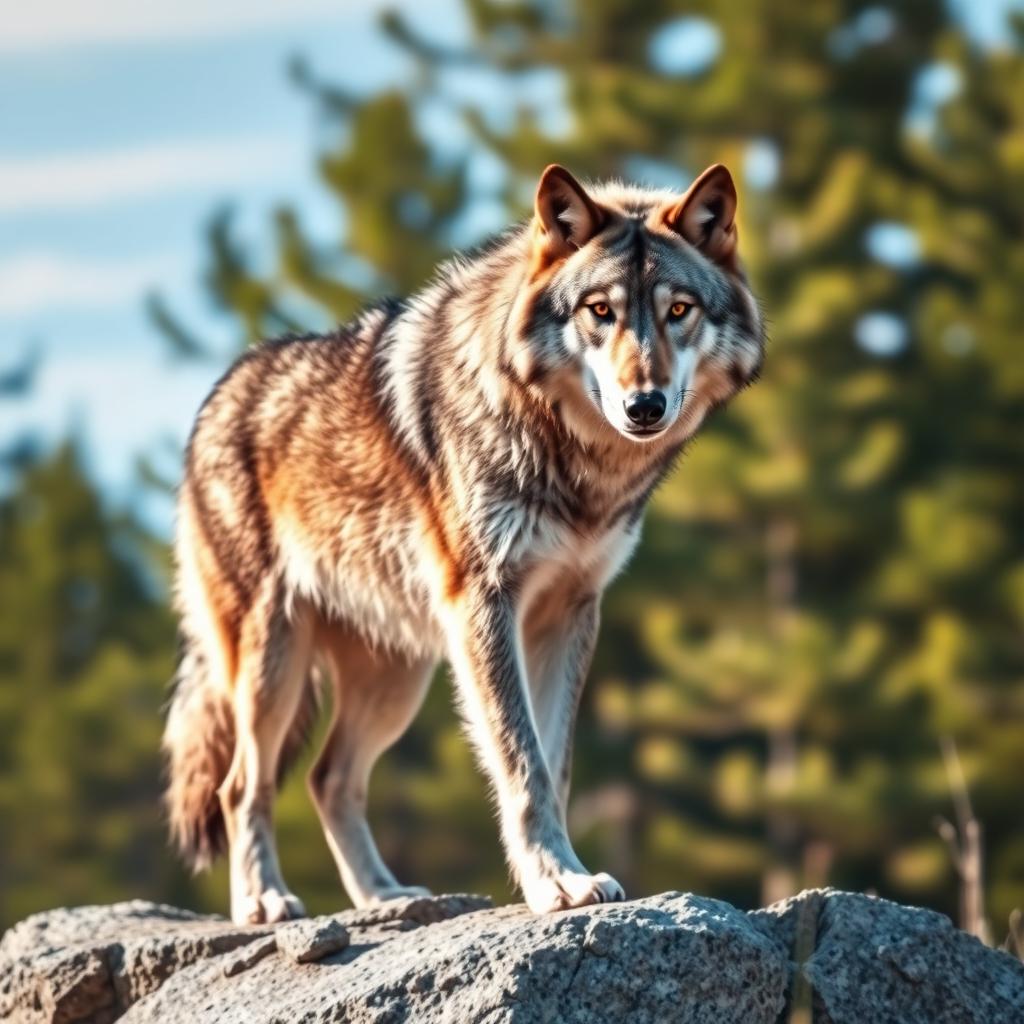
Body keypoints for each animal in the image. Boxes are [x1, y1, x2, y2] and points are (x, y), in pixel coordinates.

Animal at [163, 163, 764, 923]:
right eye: (599, 311)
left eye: (679, 309)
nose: (644, 405)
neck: (576, 465)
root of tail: (217, 395)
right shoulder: (485, 604)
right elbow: (521, 760)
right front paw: (555, 883)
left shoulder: (570, 611)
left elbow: (554, 765)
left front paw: (564, 871)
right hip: (274, 662)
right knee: (242, 784)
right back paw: (265, 900)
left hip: (397, 679)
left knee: (329, 778)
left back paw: (383, 897)